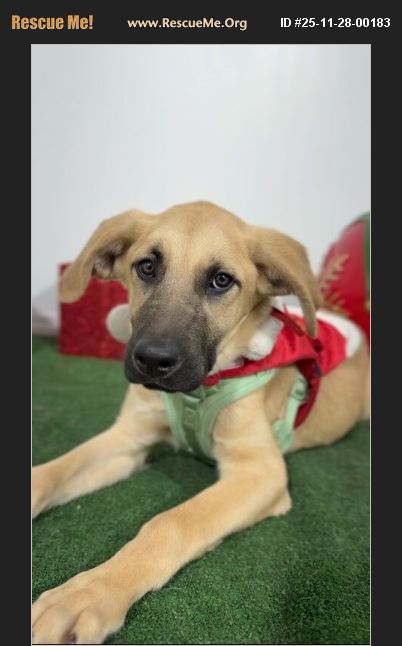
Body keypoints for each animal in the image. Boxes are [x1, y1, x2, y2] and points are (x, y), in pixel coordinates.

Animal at [32, 201, 370, 644]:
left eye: (221, 280)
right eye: (146, 267)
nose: (153, 361)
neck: (195, 392)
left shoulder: (259, 472)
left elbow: (171, 523)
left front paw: (86, 594)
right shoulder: (128, 438)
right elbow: (51, 472)